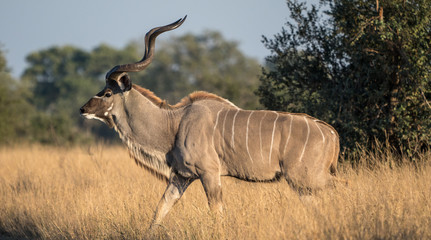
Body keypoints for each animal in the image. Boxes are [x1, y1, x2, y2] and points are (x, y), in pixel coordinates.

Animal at [80, 16, 344, 227]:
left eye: (107, 93)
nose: (83, 109)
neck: (173, 124)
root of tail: (331, 133)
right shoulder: (181, 177)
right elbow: (159, 211)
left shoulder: (209, 174)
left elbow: (216, 214)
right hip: (304, 184)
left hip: (306, 178)